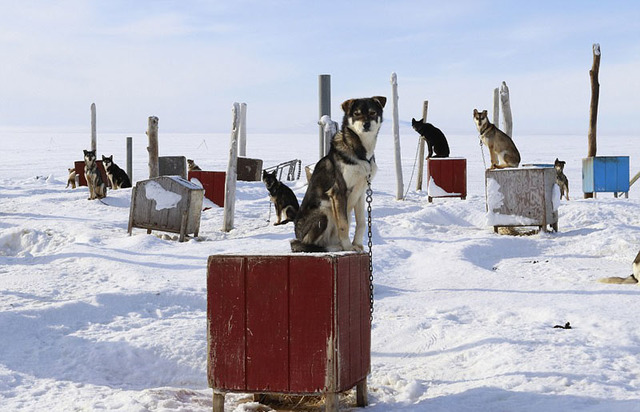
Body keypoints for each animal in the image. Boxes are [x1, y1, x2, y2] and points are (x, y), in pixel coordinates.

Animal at [292, 96, 388, 253]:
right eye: (357, 113)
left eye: (373, 113)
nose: (366, 124)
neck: (361, 155)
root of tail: (297, 235)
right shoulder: (338, 191)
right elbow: (344, 224)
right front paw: (349, 247)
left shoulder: (361, 192)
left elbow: (361, 223)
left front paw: (357, 245)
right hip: (325, 211)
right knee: (308, 245)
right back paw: (336, 247)